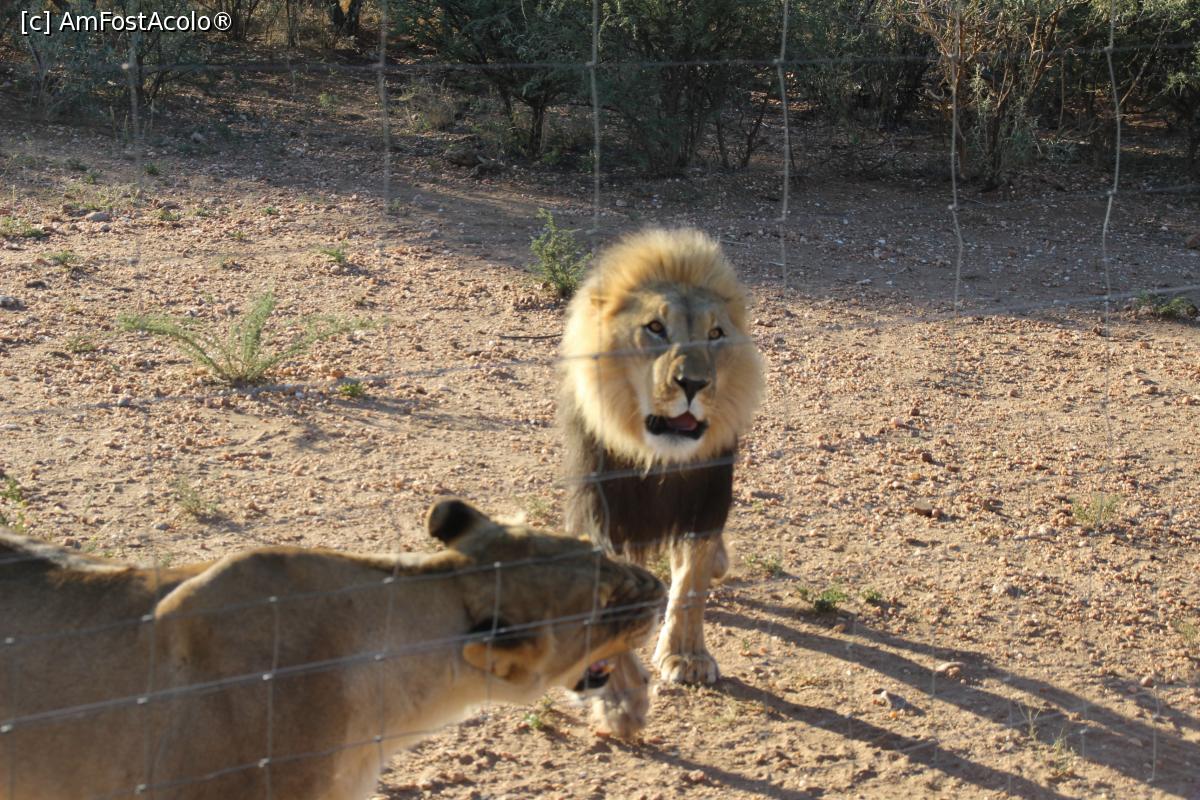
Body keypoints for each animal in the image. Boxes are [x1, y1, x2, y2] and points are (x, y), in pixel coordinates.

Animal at [560, 228, 764, 734]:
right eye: (655, 328)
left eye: (715, 334)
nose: (693, 383)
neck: (657, 455)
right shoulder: (599, 503)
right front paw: (621, 700)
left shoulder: (707, 497)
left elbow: (691, 578)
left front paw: (686, 657)